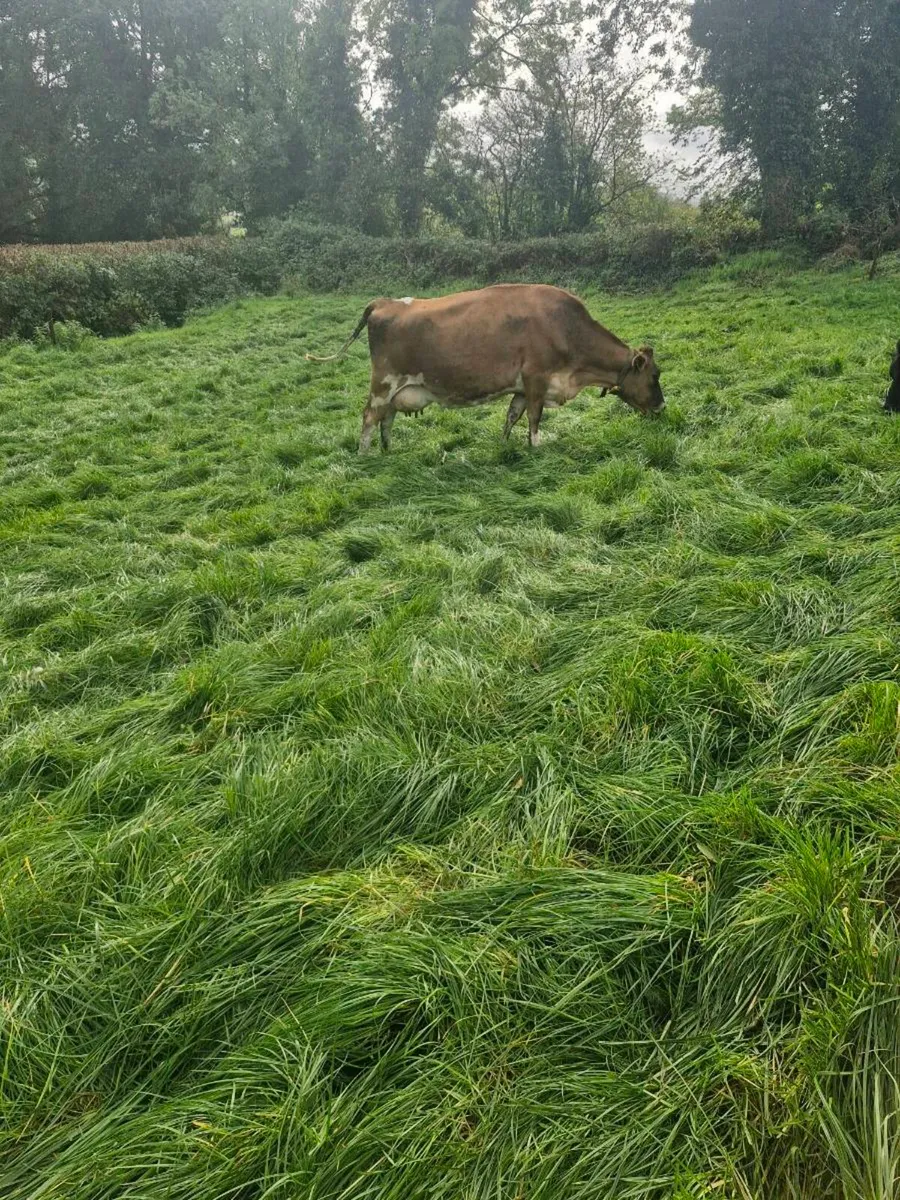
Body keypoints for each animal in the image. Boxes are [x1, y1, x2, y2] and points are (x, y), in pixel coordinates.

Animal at [305, 284, 665, 452]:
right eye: (655, 375)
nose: (662, 408)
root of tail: (385, 302)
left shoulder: (522, 386)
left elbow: (512, 416)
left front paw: (505, 445)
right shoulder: (536, 379)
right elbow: (534, 419)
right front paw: (537, 447)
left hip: (396, 389)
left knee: (386, 419)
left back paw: (387, 450)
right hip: (384, 382)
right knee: (369, 417)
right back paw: (364, 454)